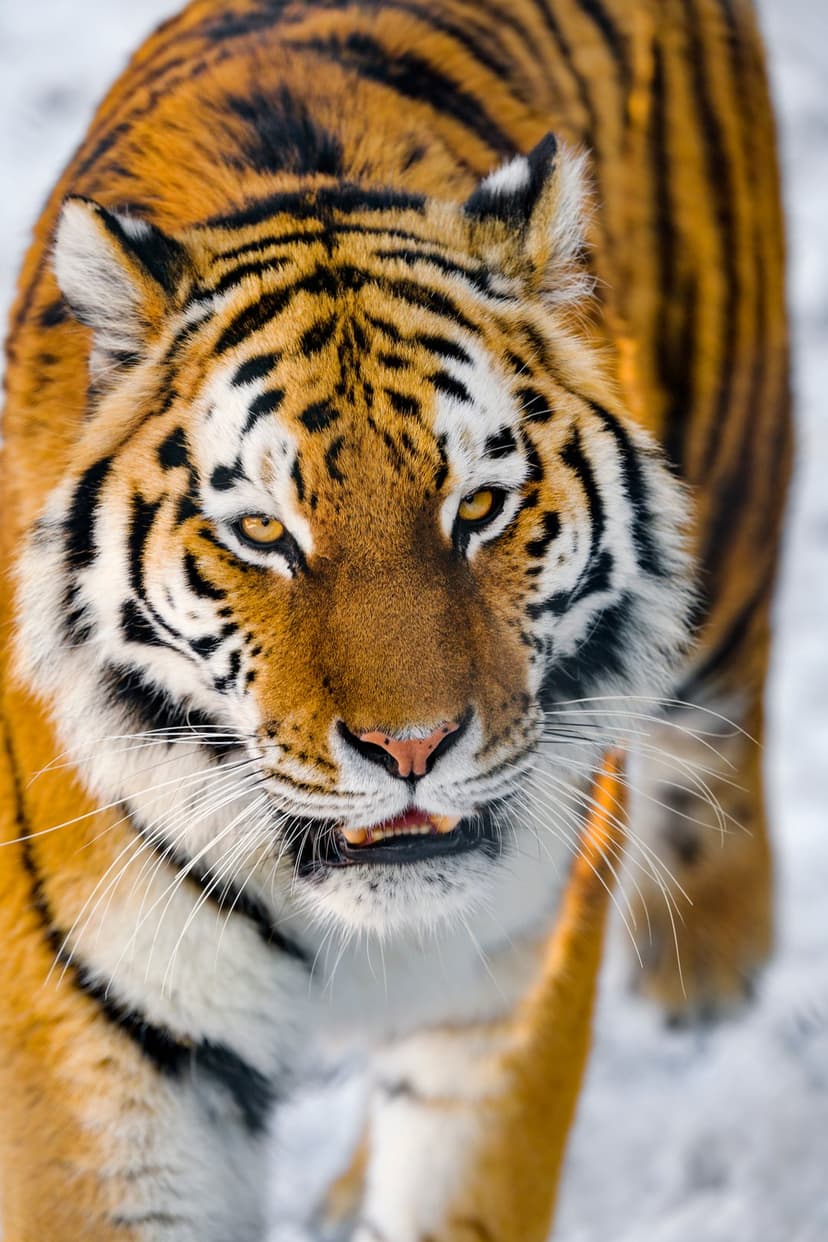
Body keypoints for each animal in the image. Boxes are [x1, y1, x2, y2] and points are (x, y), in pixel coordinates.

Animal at [0, 0, 791, 1238]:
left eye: (477, 508)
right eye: (263, 533)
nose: (412, 750)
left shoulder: (506, 999)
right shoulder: (109, 1044)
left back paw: (708, 965)